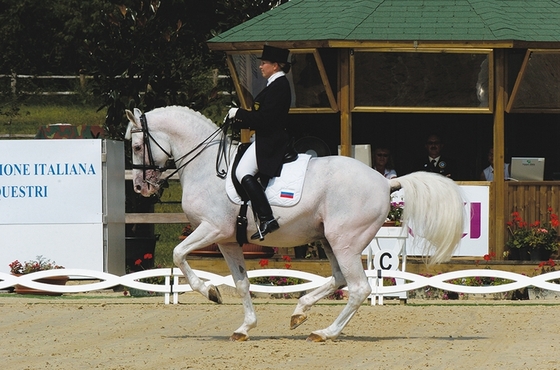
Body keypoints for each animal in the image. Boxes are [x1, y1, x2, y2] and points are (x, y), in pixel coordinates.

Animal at [124, 105, 466, 342]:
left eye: (138, 147)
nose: (140, 187)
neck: (208, 167)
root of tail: (385, 182)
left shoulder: (212, 229)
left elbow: (178, 254)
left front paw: (209, 292)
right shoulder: (228, 240)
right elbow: (242, 282)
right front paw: (244, 328)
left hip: (344, 241)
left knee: (359, 288)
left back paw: (325, 332)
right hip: (329, 239)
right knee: (339, 279)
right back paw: (300, 311)